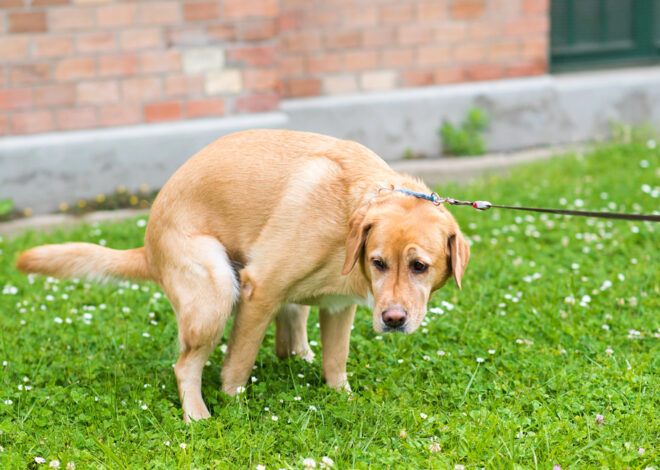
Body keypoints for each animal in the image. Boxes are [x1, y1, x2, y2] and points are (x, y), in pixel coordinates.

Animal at [16, 129, 470, 422]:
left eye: (419, 266)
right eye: (378, 262)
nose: (392, 320)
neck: (350, 212)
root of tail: (148, 247)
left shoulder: (339, 308)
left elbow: (336, 361)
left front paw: (342, 397)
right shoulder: (259, 290)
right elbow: (237, 364)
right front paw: (233, 404)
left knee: (290, 338)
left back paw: (299, 357)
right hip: (215, 291)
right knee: (185, 366)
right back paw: (197, 414)